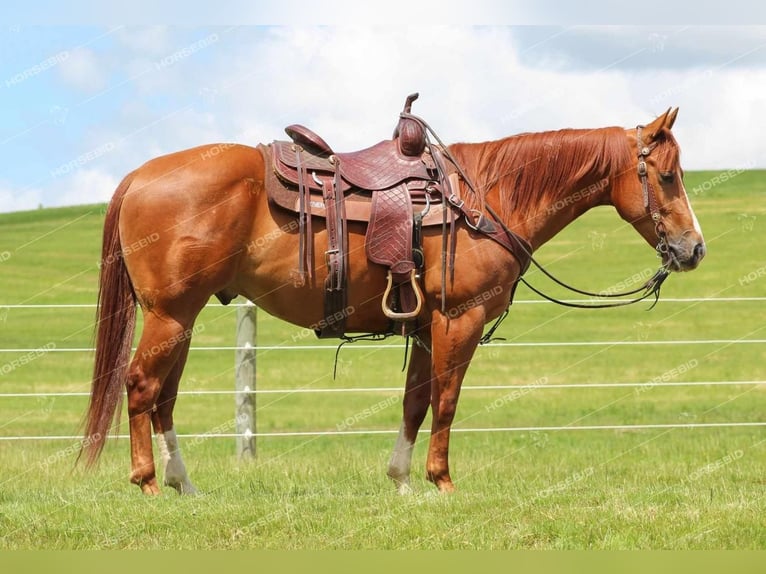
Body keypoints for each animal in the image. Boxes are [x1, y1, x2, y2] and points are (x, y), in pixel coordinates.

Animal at [79, 108, 708, 496]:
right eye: (669, 176)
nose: (694, 248)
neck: (485, 197)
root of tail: (139, 176)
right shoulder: (459, 320)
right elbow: (447, 402)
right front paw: (442, 481)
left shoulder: (427, 328)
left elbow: (414, 403)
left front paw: (402, 479)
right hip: (169, 316)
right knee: (141, 387)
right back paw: (148, 481)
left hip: (181, 319)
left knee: (163, 398)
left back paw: (184, 483)